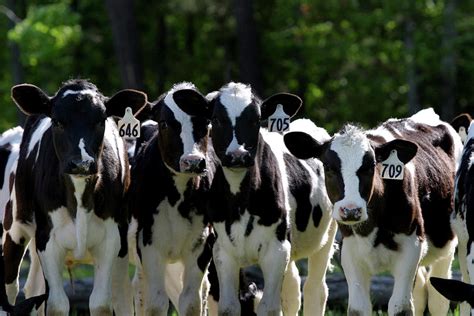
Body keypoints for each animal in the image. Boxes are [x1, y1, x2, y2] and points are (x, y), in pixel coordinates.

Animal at [2, 79, 147, 316]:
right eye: (58, 122)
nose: (81, 163)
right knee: (10, 290)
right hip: (12, 230)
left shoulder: (111, 239)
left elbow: (100, 303)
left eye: (100, 121)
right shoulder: (48, 240)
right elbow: (57, 305)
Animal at [128, 83, 213, 316]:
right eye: (165, 123)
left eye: (206, 122)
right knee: (140, 290)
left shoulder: (201, 245)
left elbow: (190, 302)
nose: (193, 161)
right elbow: (156, 303)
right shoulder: (149, 244)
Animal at [208, 82, 336, 316]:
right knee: (292, 289)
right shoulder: (222, 251)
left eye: (256, 119)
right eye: (216, 119)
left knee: (315, 289)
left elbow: (268, 308)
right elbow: (229, 307)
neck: (241, 203)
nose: (238, 155)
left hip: (327, 234)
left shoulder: (276, 251)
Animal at [286, 108, 462, 316]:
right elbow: (358, 308)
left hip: (448, 242)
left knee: (438, 299)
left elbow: (400, 306)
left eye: (370, 167)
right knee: (420, 293)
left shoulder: (412, 247)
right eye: (328, 167)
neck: (372, 228)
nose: (351, 210)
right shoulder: (350, 252)